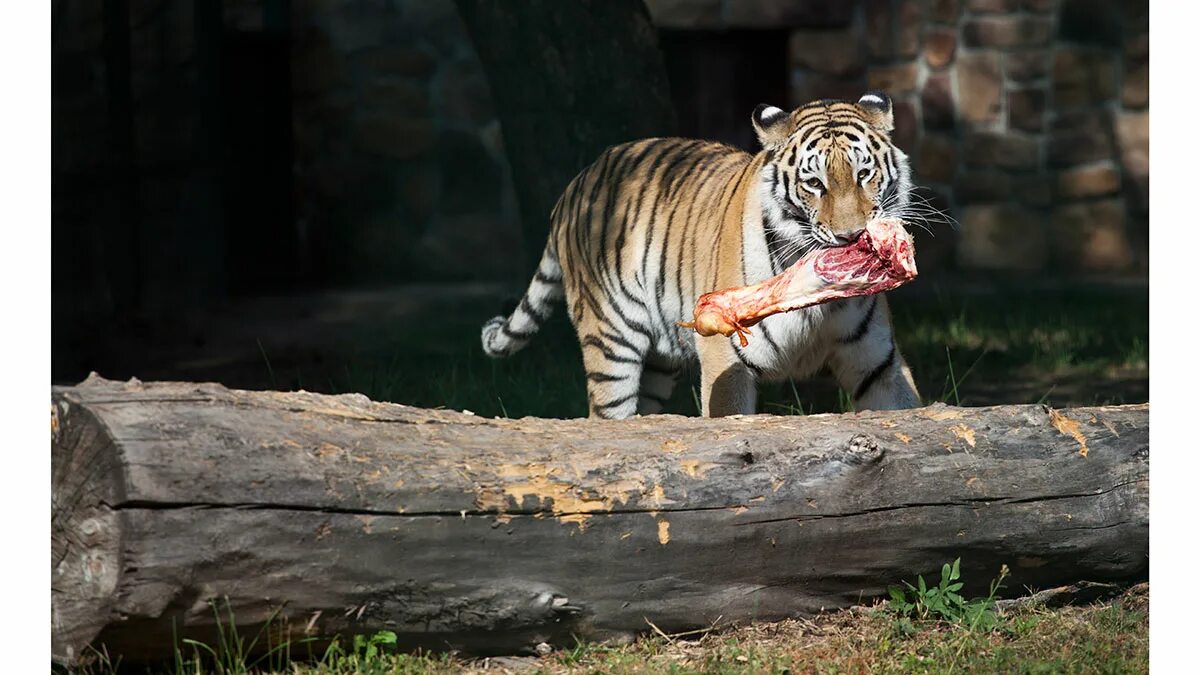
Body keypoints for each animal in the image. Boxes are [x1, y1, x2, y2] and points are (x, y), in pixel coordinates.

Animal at [477, 89, 916, 415]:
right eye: (814, 183)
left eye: (863, 174)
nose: (851, 235)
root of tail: (576, 183)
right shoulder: (726, 357)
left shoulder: (877, 362)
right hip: (610, 342)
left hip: (658, 363)